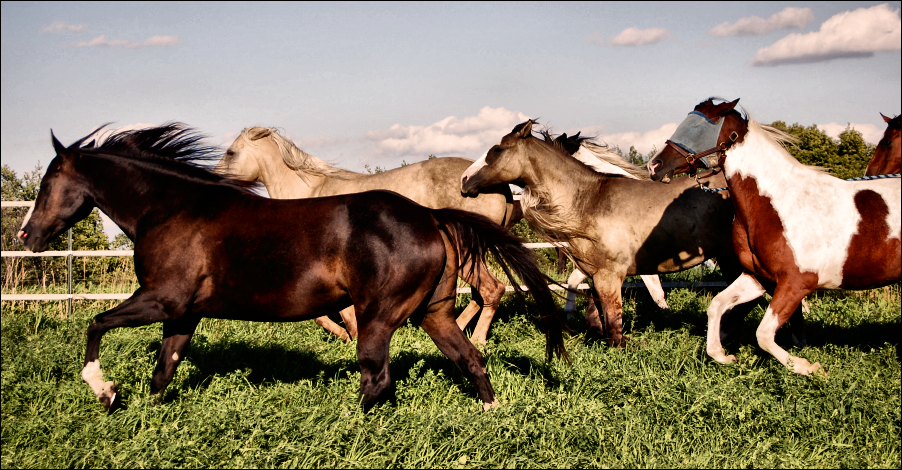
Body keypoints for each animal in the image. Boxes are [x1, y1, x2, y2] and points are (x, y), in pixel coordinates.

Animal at [215, 126, 520, 344]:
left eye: (230, 152)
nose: (215, 179)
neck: (309, 191)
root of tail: (499, 187)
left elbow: (330, 314)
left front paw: (349, 336)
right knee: (481, 294)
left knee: (492, 289)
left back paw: (477, 341)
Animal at [652, 99, 900, 374]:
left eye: (697, 127)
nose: (655, 166)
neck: (778, 203)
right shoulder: (758, 277)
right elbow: (717, 305)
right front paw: (724, 356)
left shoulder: (796, 284)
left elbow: (764, 334)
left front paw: (810, 367)